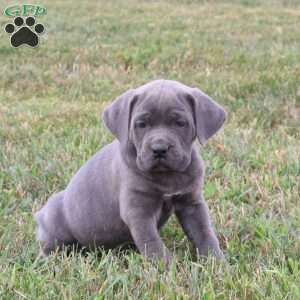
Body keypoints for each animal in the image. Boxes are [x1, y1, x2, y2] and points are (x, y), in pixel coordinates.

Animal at [34, 79, 225, 262]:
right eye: (141, 124)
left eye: (180, 123)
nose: (159, 149)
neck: (166, 175)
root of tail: (40, 214)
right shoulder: (138, 211)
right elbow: (152, 243)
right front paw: (166, 267)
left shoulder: (192, 203)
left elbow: (204, 233)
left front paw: (216, 261)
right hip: (56, 227)